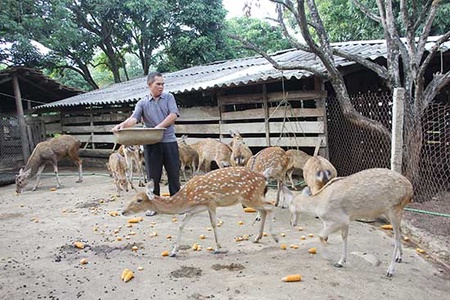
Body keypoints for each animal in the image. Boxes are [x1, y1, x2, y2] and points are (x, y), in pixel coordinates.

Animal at [122, 166, 278, 255]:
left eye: (139, 200)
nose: (123, 212)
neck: (187, 199)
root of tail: (264, 177)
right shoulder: (193, 210)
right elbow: (181, 225)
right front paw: (173, 251)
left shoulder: (211, 202)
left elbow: (214, 224)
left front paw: (218, 247)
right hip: (250, 198)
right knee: (264, 210)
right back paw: (257, 238)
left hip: (250, 196)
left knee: (270, 206)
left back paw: (275, 237)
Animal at [284, 168, 414, 278]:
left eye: (290, 208)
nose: (291, 223)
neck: (318, 204)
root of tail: (410, 189)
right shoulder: (346, 221)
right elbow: (344, 237)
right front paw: (341, 262)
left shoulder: (339, 219)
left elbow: (321, 235)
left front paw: (328, 257)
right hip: (391, 212)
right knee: (400, 233)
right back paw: (399, 257)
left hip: (394, 209)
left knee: (396, 237)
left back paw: (390, 270)